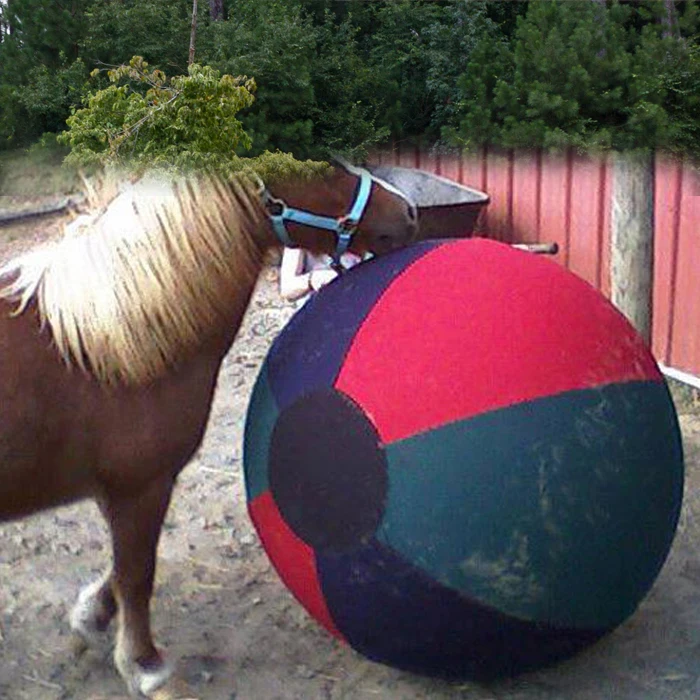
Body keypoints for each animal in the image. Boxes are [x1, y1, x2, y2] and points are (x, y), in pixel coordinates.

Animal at [0, 164, 417, 697]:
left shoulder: (121, 490)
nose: (407, 210)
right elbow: (137, 571)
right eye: (319, 166)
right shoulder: (142, 487)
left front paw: (92, 616)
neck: (106, 347)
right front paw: (145, 664)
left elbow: (122, 566)